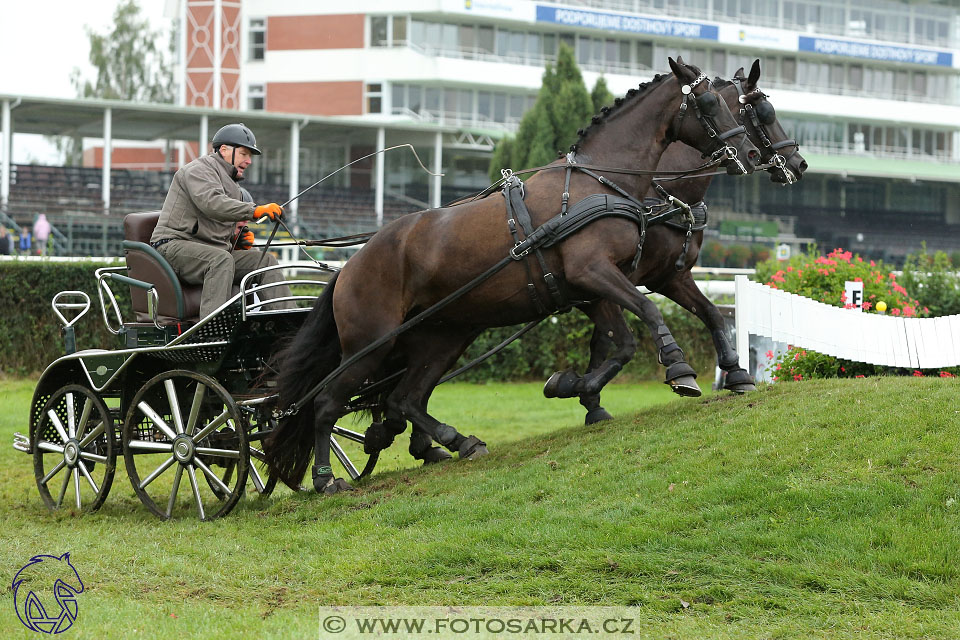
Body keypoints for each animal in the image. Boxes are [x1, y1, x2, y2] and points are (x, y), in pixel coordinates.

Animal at [268, 60, 756, 492]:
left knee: (403, 398)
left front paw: (573, 386)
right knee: (327, 404)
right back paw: (326, 478)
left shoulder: (598, 286)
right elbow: (647, 317)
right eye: (710, 103)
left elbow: (629, 342)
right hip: (371, 345)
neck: (598, 183)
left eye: (742, 107)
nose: (749, 154)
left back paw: (452, 441)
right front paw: (678, 368)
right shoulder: (594, 273)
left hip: (442, 338)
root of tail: (351, 265)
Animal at [544, 60, 808, 424]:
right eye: (765, 113)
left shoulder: (667, 275)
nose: (799, 163)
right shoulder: (611, 276)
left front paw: (736, 373)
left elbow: (710, 314)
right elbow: (609, 337)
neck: (664, 197)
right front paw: (588, 394)